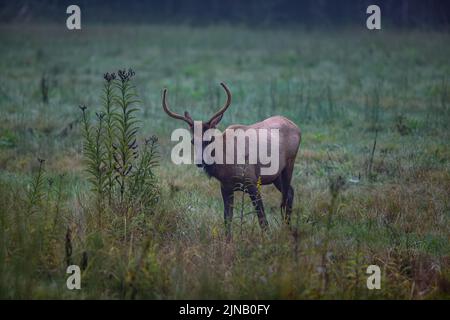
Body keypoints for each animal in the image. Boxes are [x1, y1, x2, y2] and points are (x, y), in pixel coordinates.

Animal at [160, 82, 300, 238]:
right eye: (192, 141)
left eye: (209, 139)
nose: (200, 162)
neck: (226, 165)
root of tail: (295, 126)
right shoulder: (225, 187)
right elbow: (227, 219)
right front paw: (228, 241)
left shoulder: (252, 182)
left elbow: (262, 218)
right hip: (275, 175)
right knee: (290, 192)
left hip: (289, 164)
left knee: (285, 197)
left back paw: (287, 230)